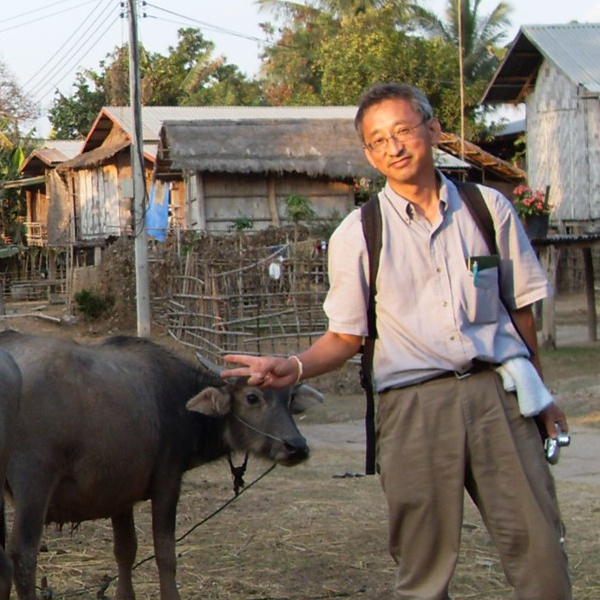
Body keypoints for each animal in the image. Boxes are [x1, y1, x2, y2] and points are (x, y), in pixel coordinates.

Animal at [0, 330, 322, 596]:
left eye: (289, 397)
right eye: (252, 397)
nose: (296, 447)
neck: (178, 400)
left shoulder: (119, 493)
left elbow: (126, 550)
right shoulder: (168, 481)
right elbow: (165, 553)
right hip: (34, 483)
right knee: (22, 557)